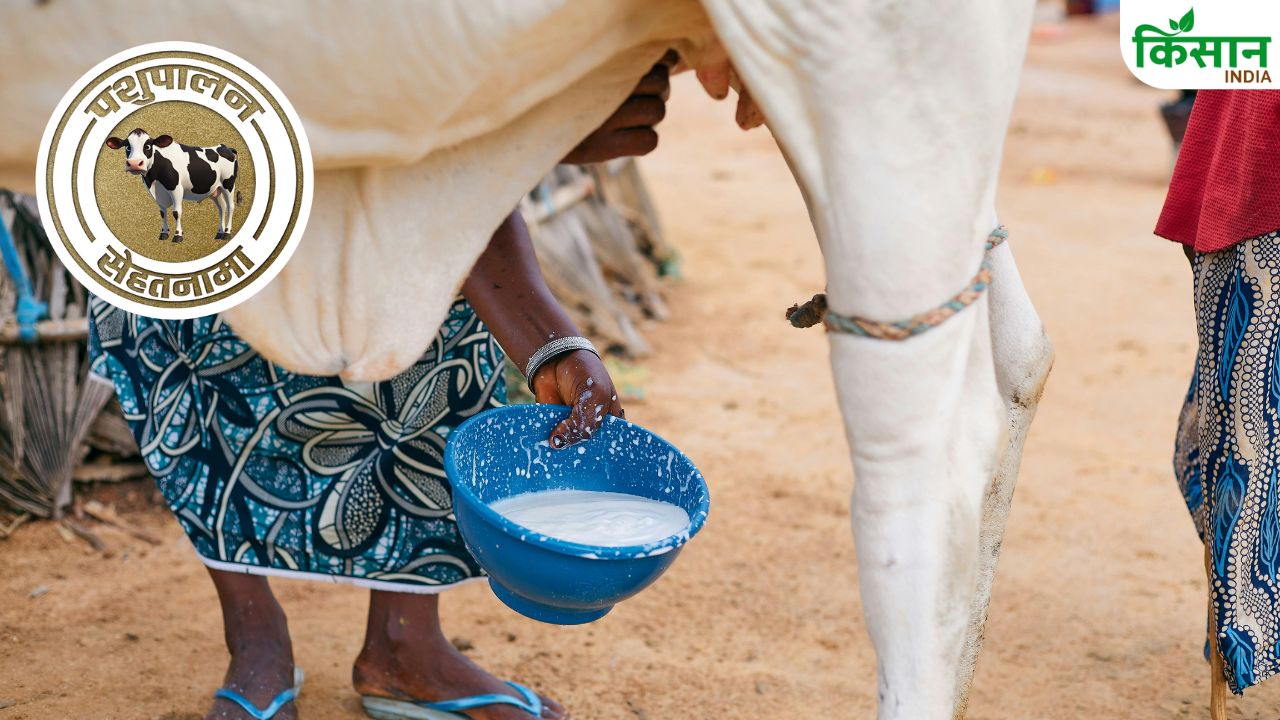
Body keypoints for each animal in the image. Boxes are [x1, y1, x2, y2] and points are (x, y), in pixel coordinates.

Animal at [103, 128, 241, 243]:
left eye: (147, 146)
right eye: (127, 146)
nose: (135, 163)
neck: (154, 179)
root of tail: (225, 147)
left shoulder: (176, 188)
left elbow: (176, 212)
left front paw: (178, 235)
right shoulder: (156, 192)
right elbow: (162, 212)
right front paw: (164, 233)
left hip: (228, 184)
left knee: (230, 206)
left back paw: (227, 233)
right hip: (215, 190)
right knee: (222, 207)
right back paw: (220, 233)